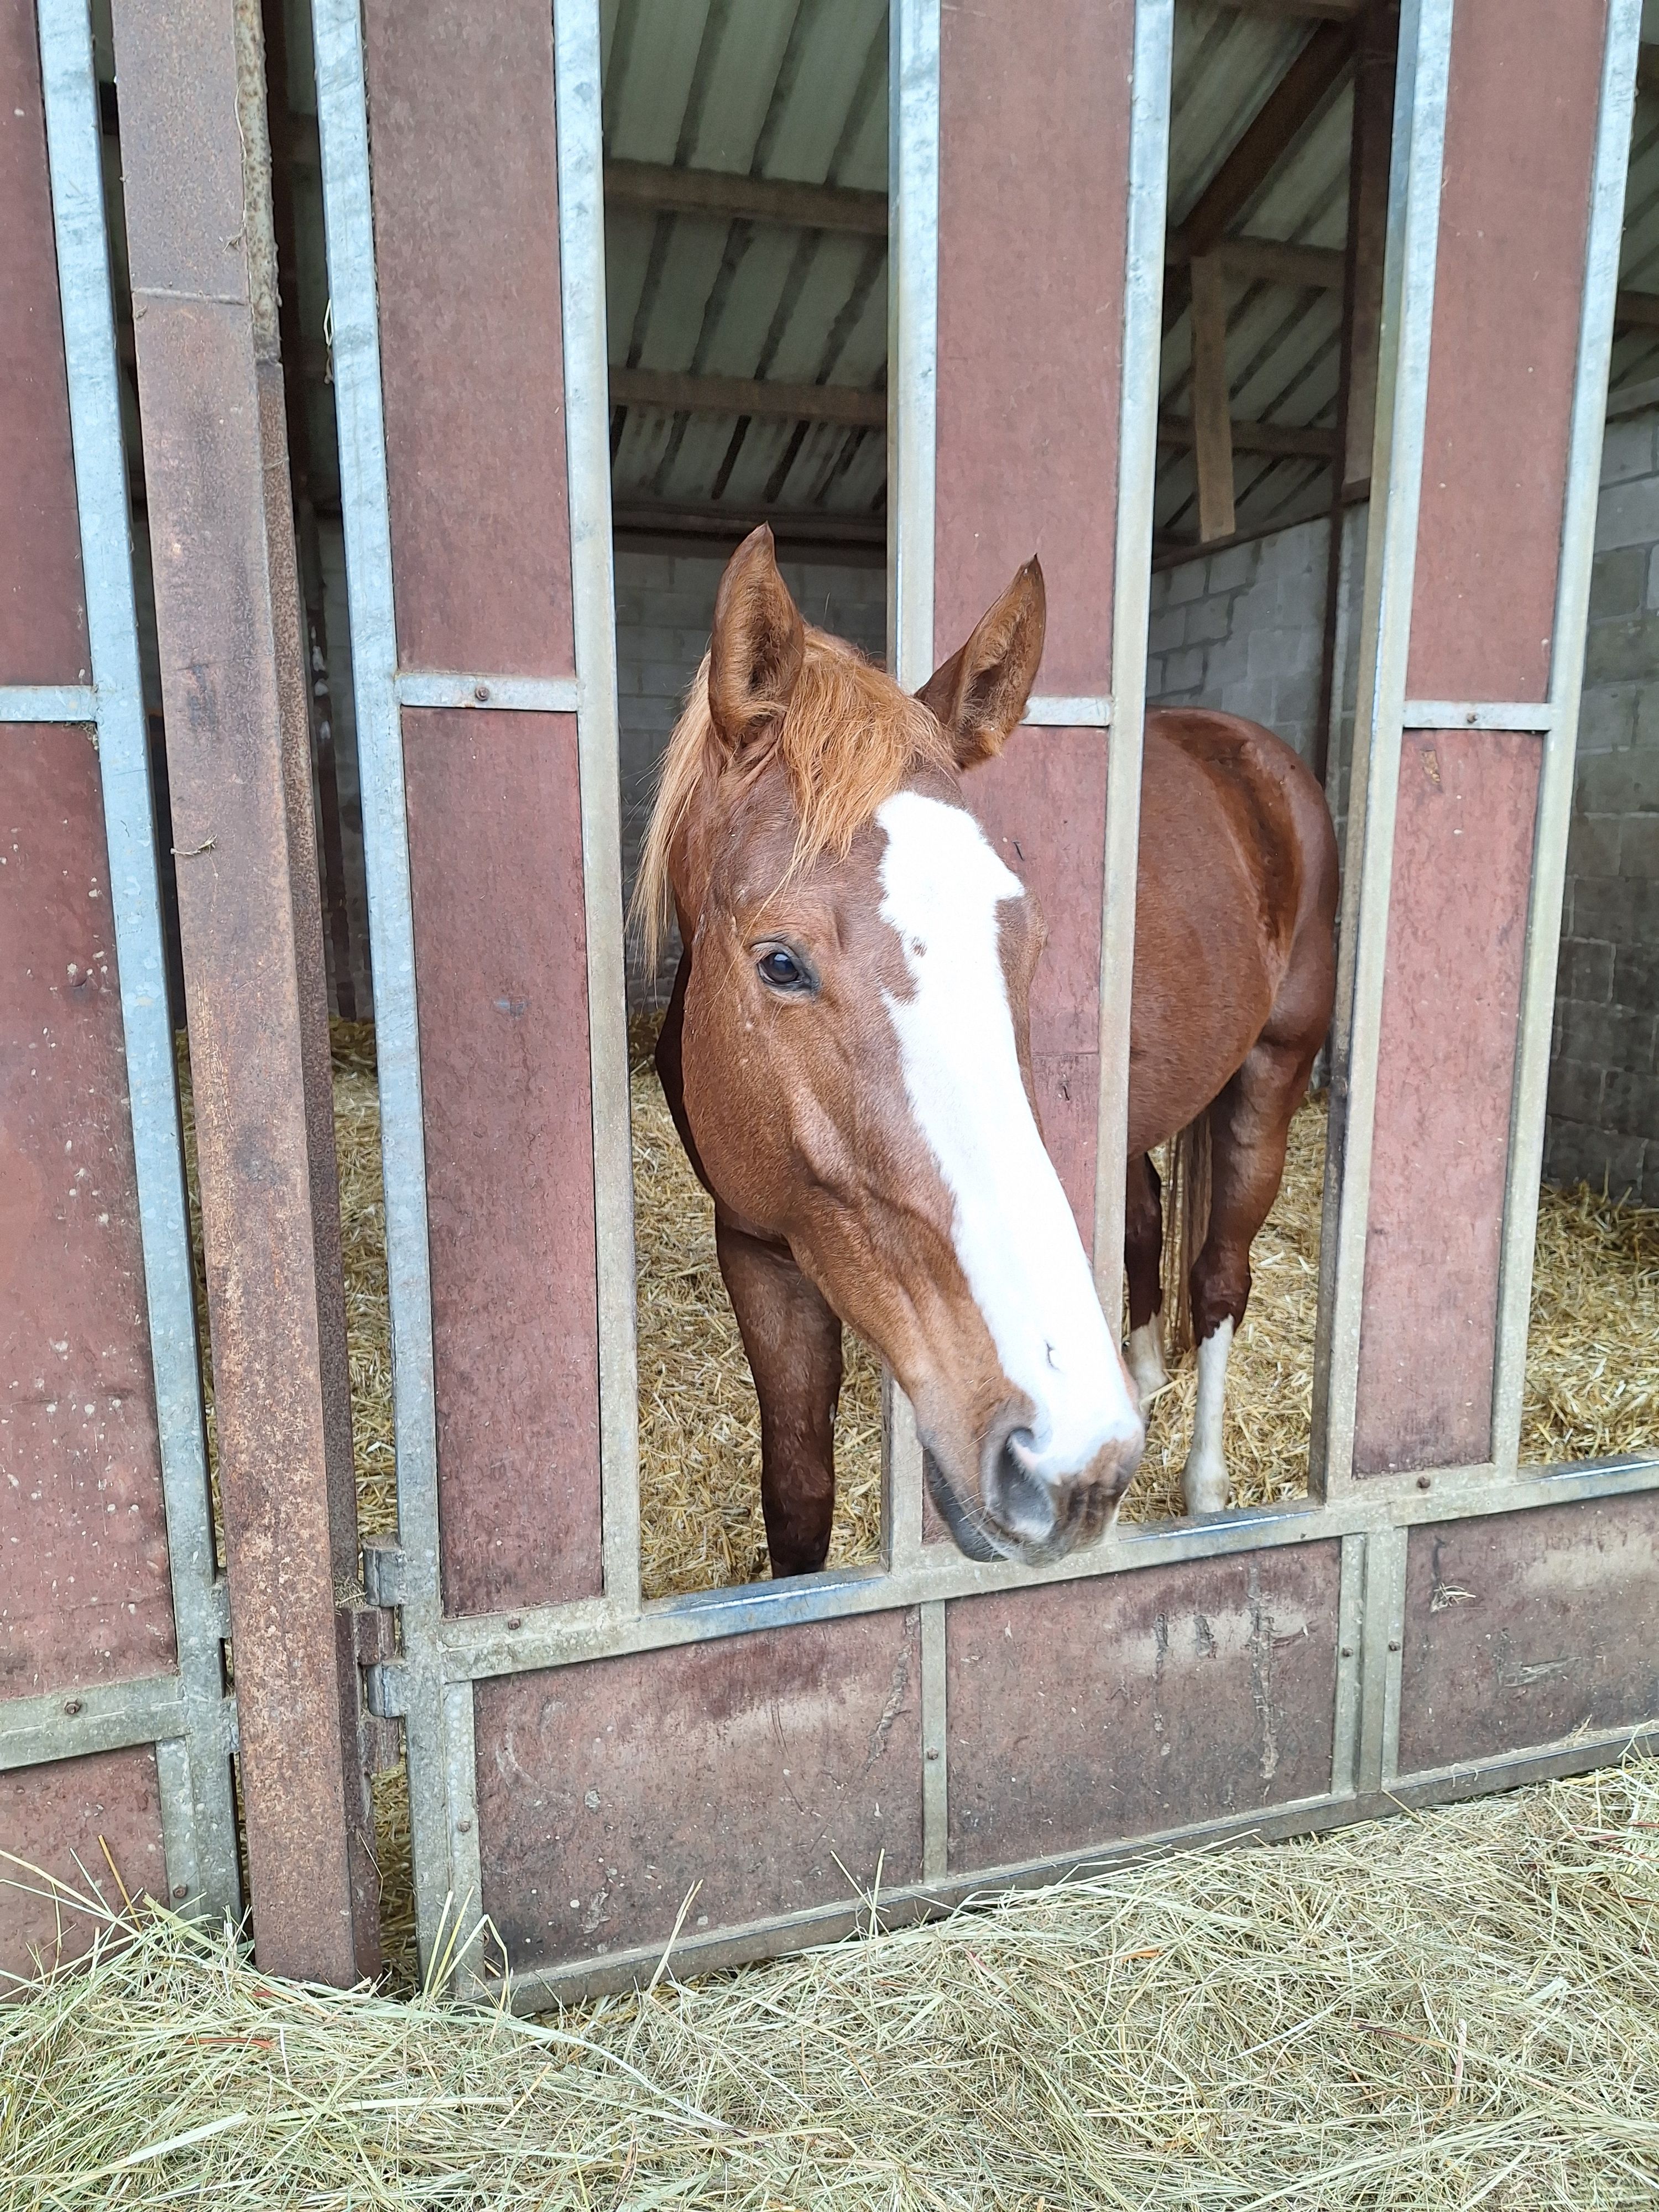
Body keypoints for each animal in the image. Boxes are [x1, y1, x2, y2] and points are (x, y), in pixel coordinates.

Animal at [636, 524, 1338, 1577]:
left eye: (1030, 943)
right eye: (780, 963)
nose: (1074, 1462)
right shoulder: (756, 1245)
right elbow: (797, 1494)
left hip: (1273, 1077)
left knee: (1219, 1279)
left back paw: (1206, 1486)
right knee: (1144, 1223)